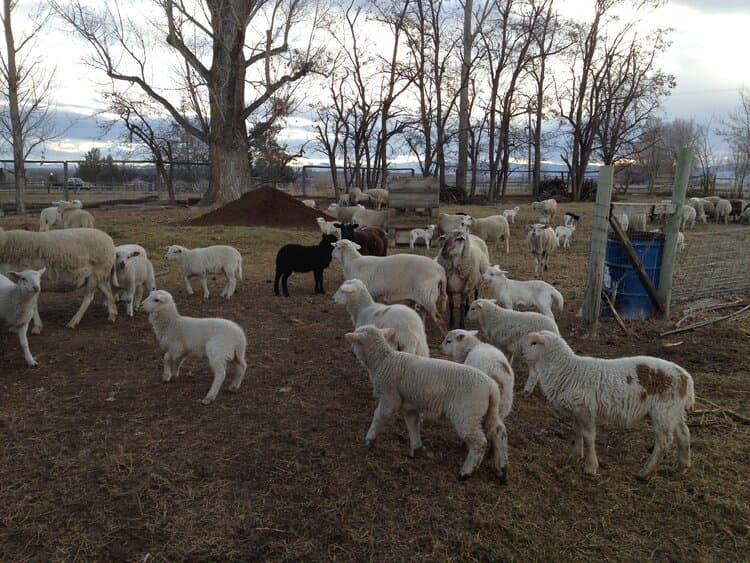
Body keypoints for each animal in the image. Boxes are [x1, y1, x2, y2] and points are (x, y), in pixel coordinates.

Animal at [345, 324, 508, 481]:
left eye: (355, 341)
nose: (351, 351)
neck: (383, 361)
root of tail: (491, 386)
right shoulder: (409, 405)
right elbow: (412, 424)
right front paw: (416, 448)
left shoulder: (389, 398)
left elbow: (378, 417)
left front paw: (369, 440)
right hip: (487, 412)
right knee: (499, 433)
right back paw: (501, 470)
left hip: (467, 414)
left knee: (479, 442)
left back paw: (466, 472)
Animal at [521, 330, 694, 479]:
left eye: (534, 343)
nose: (521, 353)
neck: (568, 370)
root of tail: (686, 377)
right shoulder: (576, 409)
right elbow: (577, 432)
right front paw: (574, 456)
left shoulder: (585, 408)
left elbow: (588, 436)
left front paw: (590, 467)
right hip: (674, 410)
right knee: (684, 433)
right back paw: (683, 466)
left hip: (663, 411)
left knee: (663, 443)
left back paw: (645, 472)